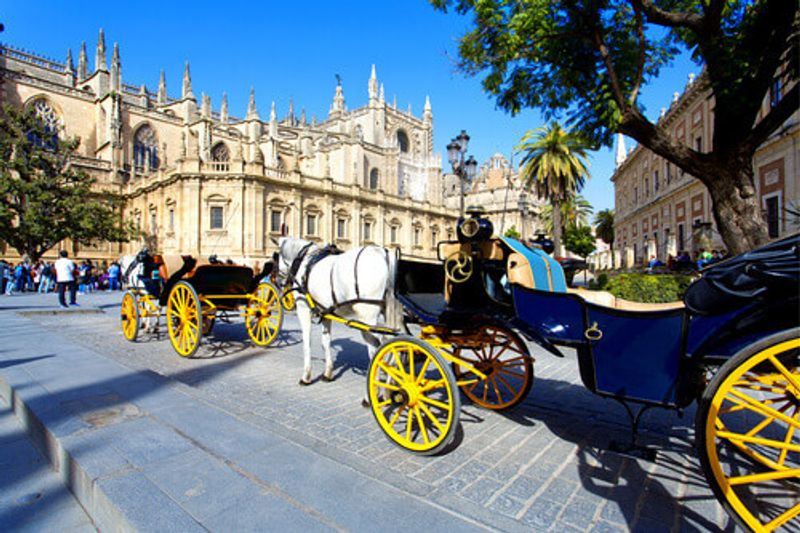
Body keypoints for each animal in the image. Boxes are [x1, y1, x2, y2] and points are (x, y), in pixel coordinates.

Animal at [276, 237, 400, 386]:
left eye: (276, 256)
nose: (279, 282)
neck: (306, 260)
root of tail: (384, 254)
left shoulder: (303, 309)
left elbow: (307, 342)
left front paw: (306, 376)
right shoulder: (326, 313)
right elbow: (325, 342)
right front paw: (328, 373)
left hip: (367, 317)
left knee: (378, 347)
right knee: (394, 343)